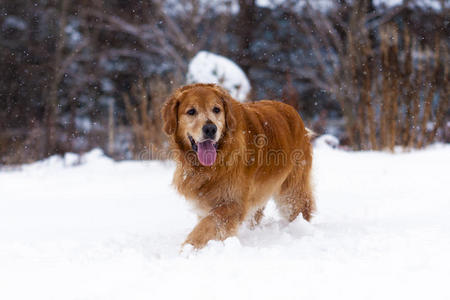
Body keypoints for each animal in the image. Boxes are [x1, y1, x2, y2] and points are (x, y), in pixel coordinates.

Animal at [163, 82, 316, 248]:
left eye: (216, 109)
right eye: (191, 111)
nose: (210, 128)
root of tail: (293, 111)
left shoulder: (233, 203)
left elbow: (207, 225)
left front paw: (188, 248)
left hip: (292, 191)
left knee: (300, 208)